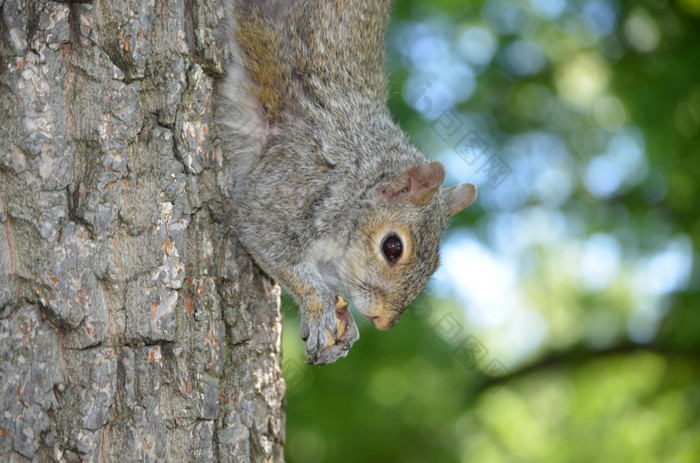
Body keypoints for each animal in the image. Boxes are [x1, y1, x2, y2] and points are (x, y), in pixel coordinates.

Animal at [217, 0, 476, 364]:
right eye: (392, 247)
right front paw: (318, 307)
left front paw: (345, 324)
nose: (384, 322)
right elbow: (265, 238)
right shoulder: (289, 182)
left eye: (436, 265)